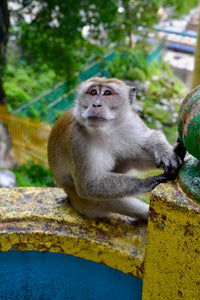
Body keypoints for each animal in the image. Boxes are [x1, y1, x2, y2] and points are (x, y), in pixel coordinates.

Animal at [47, 77, 185, 220]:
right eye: (93, 92)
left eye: (107, 93)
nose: (96, 105)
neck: (107, 129)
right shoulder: (77, 138)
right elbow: (89, 184)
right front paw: (147, 182)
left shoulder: (131, 119)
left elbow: (150, 137)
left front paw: (166, 152)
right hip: (84, 204)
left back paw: (178, 153)